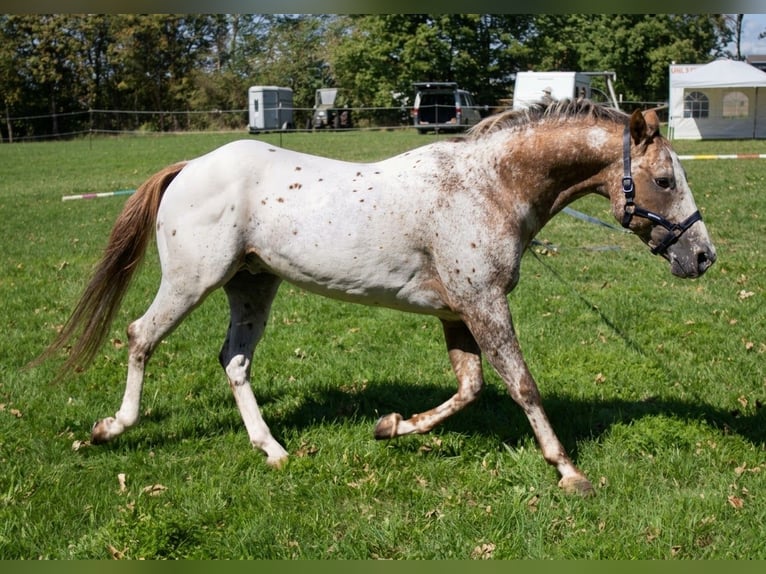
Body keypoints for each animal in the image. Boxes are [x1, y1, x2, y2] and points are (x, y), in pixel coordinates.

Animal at [37, 100, 716, 496]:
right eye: (664, 180)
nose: (702, 256)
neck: (489, 187)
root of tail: (188, 168)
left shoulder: (458, 312)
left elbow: (470, 389)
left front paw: (391, 427)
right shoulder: (482, 304)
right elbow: (521, 384)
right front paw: (569, 470)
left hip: (252, 287)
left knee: (234, 362)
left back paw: (274, 452)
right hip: (191, 282)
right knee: (140, 336)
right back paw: (110, 428)